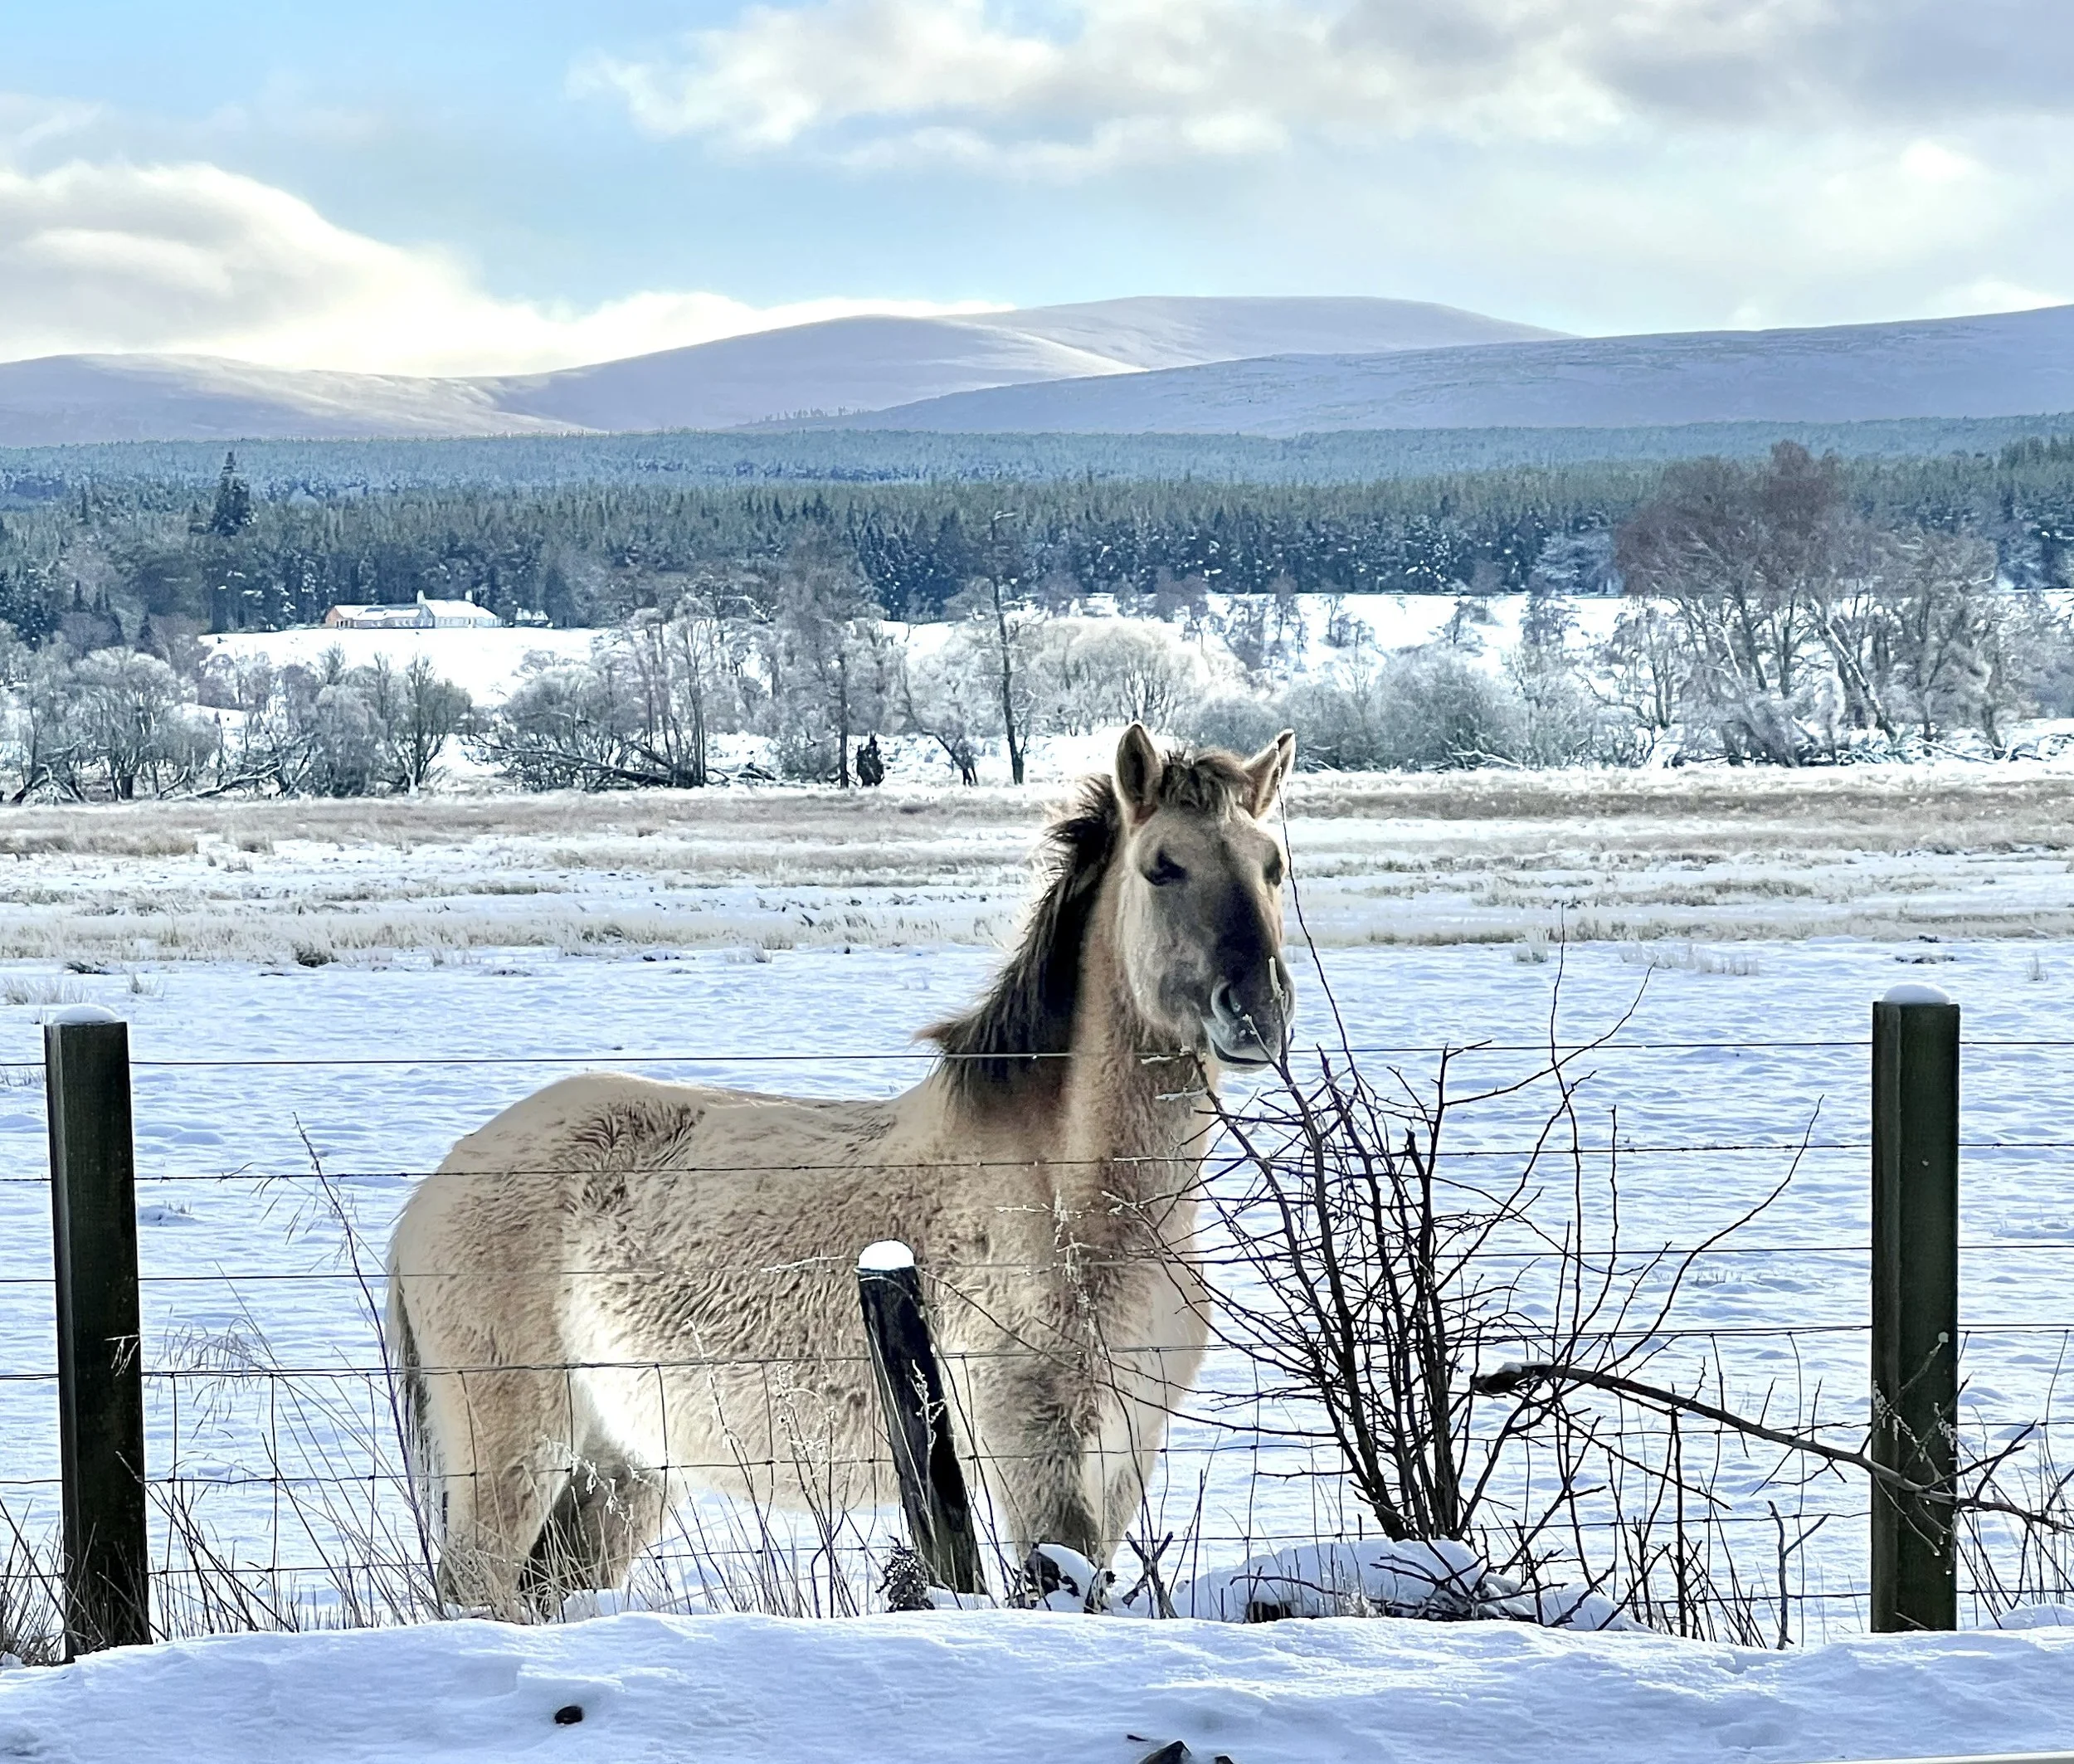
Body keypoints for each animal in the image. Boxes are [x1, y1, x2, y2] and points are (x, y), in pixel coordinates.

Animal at [385, 723, 1296, 1615]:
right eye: (1162, 865)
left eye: (1272, 865)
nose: (1256, 1010)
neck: (1070, 1196)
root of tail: (438, 1185)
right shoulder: (1034, 1457)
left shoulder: (1122, 1451)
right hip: (515, 1455)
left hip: (623, 1470)